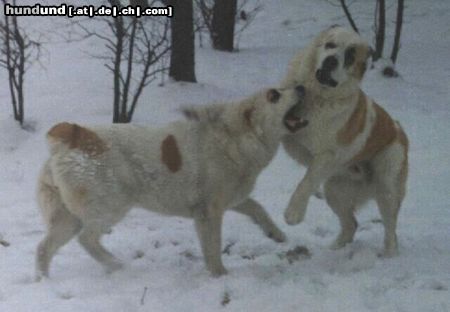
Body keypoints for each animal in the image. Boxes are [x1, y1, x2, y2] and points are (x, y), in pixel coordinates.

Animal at [36, 84, 310, 280]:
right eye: (274, 95)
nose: (301, 87)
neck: (234, 137)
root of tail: (74, 136)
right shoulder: (209, 212)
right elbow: (213, 247)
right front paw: (220, 276)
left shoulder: (230, 199)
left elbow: (258, 209)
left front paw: (276, 234)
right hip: (111, 207)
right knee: (87, 239)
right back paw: (115, 264)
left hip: (69, 219)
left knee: (44, 248)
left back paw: (45, 283)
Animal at [282, 26, 408, 256]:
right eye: (330, 45)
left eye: (350, 56)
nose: (331, 60)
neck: (318, 96)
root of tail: (399, 130)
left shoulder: (327, 156)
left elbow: (307, 181)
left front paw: (293, 213)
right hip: (334, 190)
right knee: (351, 224)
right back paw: (334, 249)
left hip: (387, 188)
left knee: (391, 231)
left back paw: (387, 256)